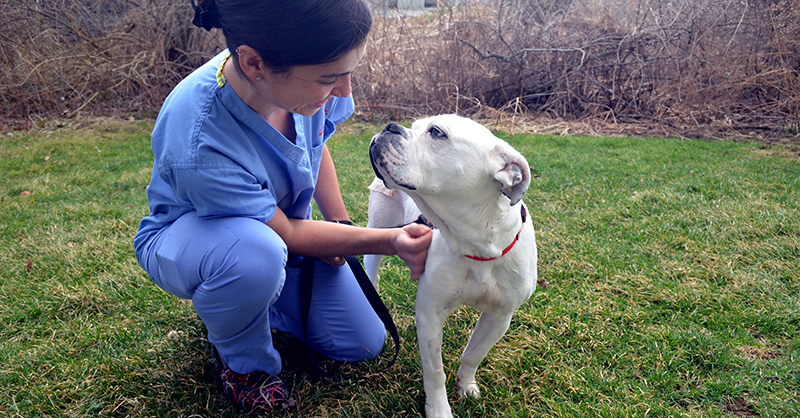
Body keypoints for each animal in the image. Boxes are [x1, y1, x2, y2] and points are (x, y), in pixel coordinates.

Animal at [368, 114, 536, 418]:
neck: (477, 245)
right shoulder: (430, 314)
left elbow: (474, 354)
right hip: (379, 226)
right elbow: (434, 371)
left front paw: (466, 385)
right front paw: (438, 409)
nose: (390, 127)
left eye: (436, 132)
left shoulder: (499, 318)